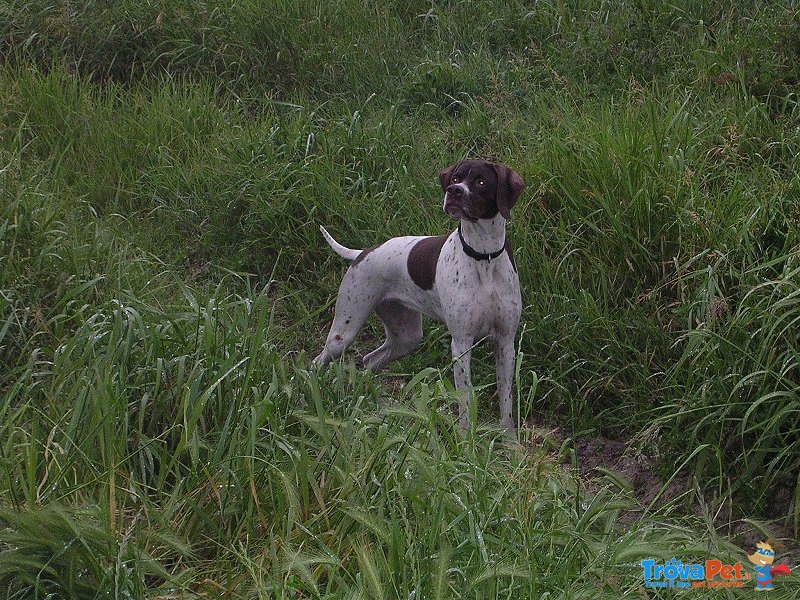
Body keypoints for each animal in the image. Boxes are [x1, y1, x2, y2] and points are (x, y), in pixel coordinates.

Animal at [312, 158, 524, 432]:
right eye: (456, 178)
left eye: (480, 182)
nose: (453, 192)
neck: (483, 257)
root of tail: (362, 253)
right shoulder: (461, 344)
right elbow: (465, 400)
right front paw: (466, 438)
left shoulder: (505, 343)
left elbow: (506, 402)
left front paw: (509, 440)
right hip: (343, 333)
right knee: (319, 362)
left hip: (407, 337)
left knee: (370, 360)